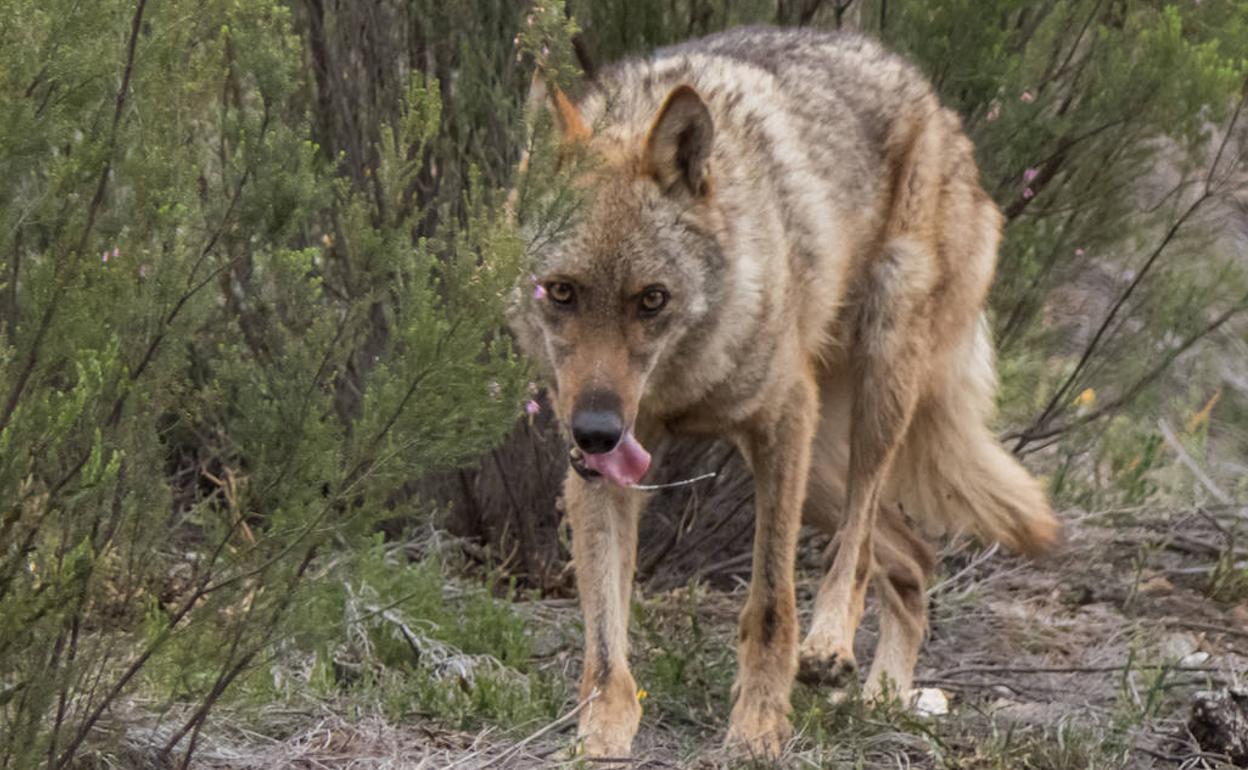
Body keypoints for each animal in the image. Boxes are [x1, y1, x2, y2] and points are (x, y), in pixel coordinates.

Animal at [510, 26, 1060, 759]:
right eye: (561, 292)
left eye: (651, 300)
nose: (596, 431)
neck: (683, 379)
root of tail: (937, 105)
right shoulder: (600, 474)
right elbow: (604, 636)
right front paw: (601, 735)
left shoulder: (780, 423)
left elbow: (771, 602)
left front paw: (759, 727)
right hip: (821, 469)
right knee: (915, 558)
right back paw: (886, 698)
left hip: (872, 394)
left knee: (858, 546)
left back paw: (831, 647)